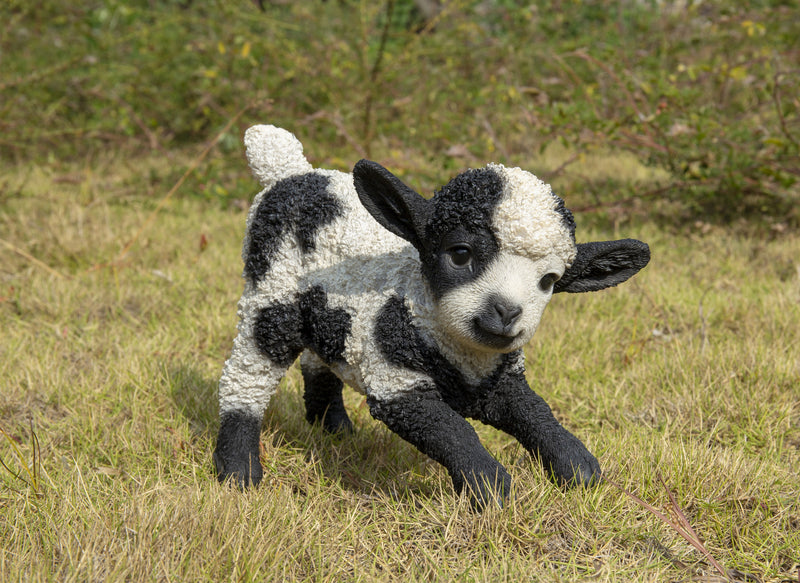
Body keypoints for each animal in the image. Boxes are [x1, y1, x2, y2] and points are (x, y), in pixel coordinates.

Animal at [214, 125, 648, 508]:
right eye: (460, 253)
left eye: (550, 281)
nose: (507, 312)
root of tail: (292, 171)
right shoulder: (396, 378)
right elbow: (452, 430)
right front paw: (488, 486)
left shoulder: (500, 378)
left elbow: (534, 411)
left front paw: (578, 467)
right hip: (272, 294)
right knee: (248, 373)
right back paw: (237, 471)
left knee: (318, 355)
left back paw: (333, 428)